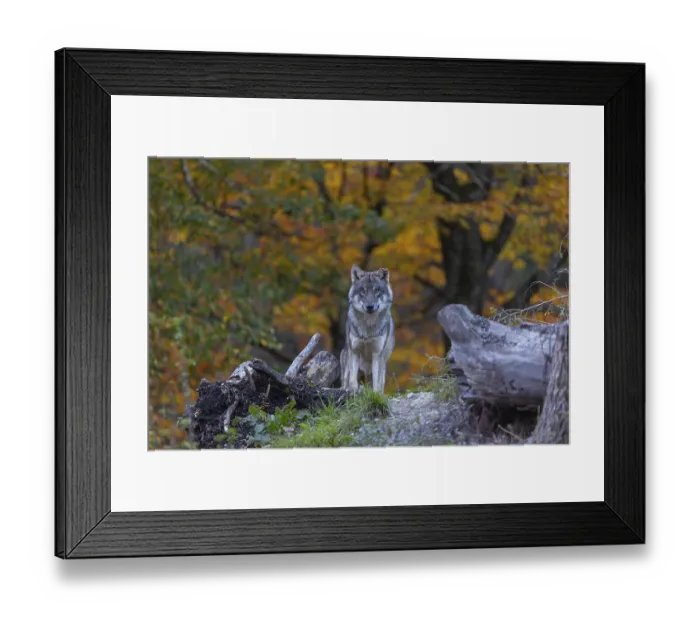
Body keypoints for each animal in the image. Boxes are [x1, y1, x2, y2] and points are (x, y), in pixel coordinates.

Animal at [340, 265, 395, 394]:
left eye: (377, 290)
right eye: (363, 291)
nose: (370, 306)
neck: (368, 328)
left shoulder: (377, 354)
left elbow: (377, 383)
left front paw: (376, 394)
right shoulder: (355, 351)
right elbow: (352, 379)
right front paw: (353, 391)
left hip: (382, 362)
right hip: (347, 358)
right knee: (346, 378)